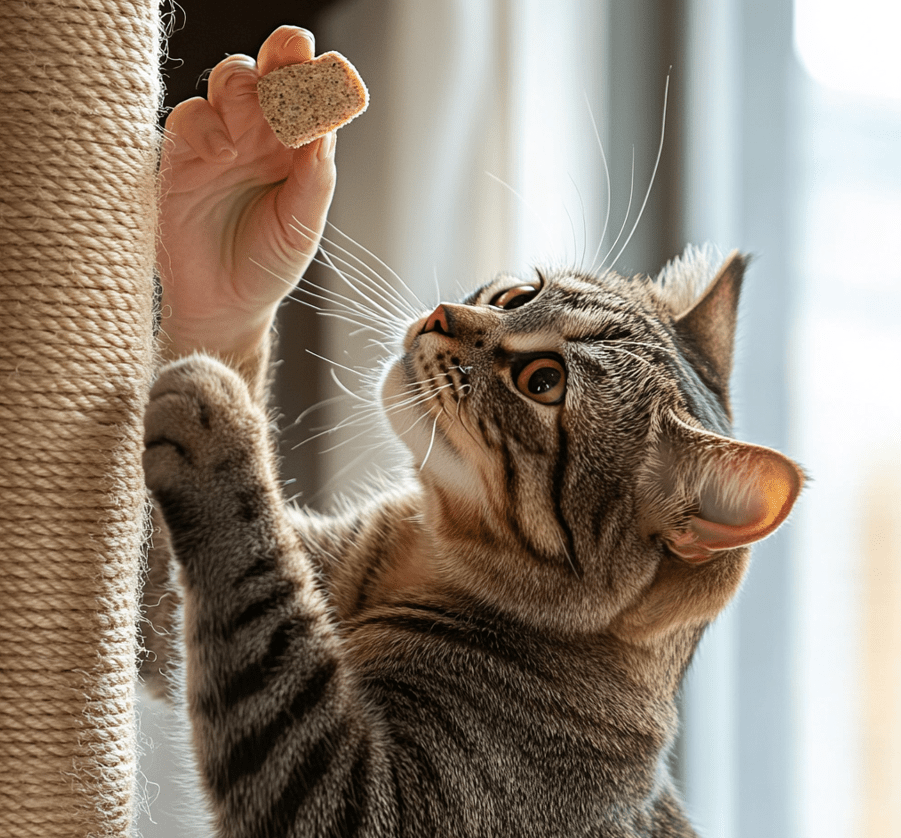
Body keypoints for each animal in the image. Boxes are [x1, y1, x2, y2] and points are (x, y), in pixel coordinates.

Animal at [141, 244, 800, 838]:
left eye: (543, 381)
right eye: (518, 295)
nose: (441, 314)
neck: (424, 554)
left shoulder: (361, 798)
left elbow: (260, 590)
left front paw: (222, 423)